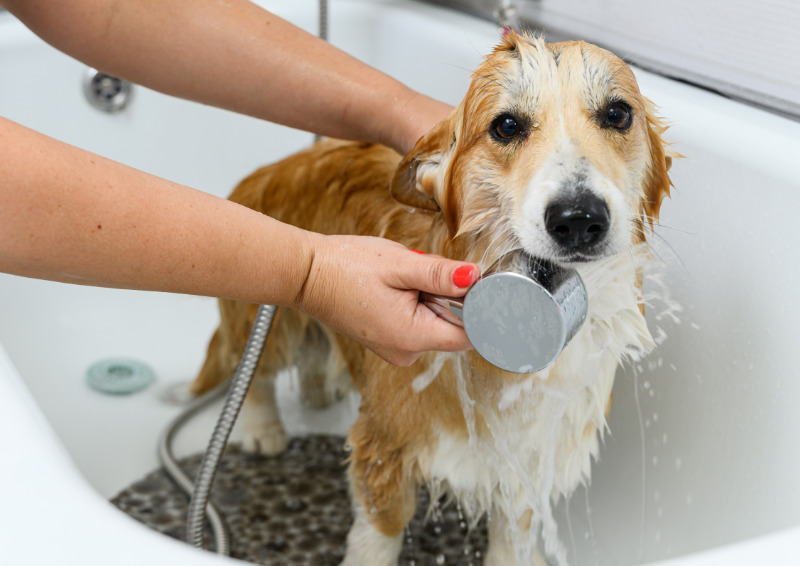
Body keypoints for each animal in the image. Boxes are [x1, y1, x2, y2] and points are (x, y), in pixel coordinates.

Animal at [192, 33, 676, 564]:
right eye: (506, 126)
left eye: (618, 114)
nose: (578, 217)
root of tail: (274, 169)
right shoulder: (386, 443)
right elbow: (379, 536)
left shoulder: (525, 463)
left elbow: (512, 538)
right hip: (273, 318)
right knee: (252, 369)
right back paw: (264, 430)